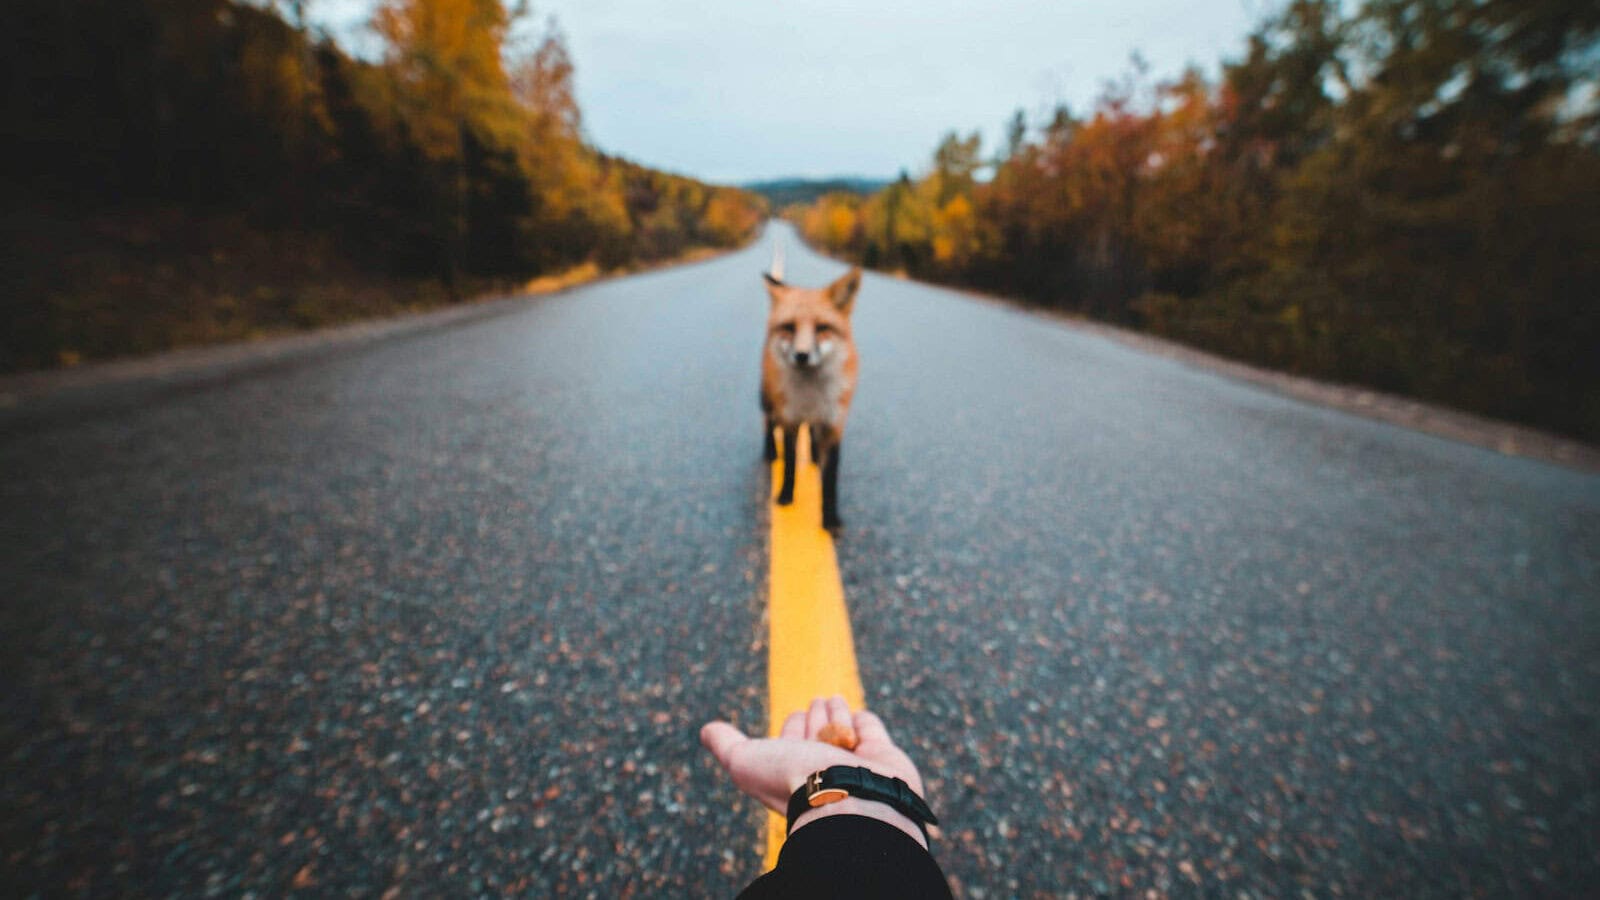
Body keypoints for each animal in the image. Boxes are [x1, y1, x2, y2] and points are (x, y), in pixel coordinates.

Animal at [760, 252, 862, 531]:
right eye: (789, 327)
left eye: (822, 328)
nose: (802, 355)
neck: (810, 398)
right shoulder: (790, 420)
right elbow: (790, 464)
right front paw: (785, 497)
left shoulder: (834, 424)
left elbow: (830, 481)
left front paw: (830, 518)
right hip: (767, 398)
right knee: (768, 423)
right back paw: (770, 451)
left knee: (814, 437)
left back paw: (815, 457)